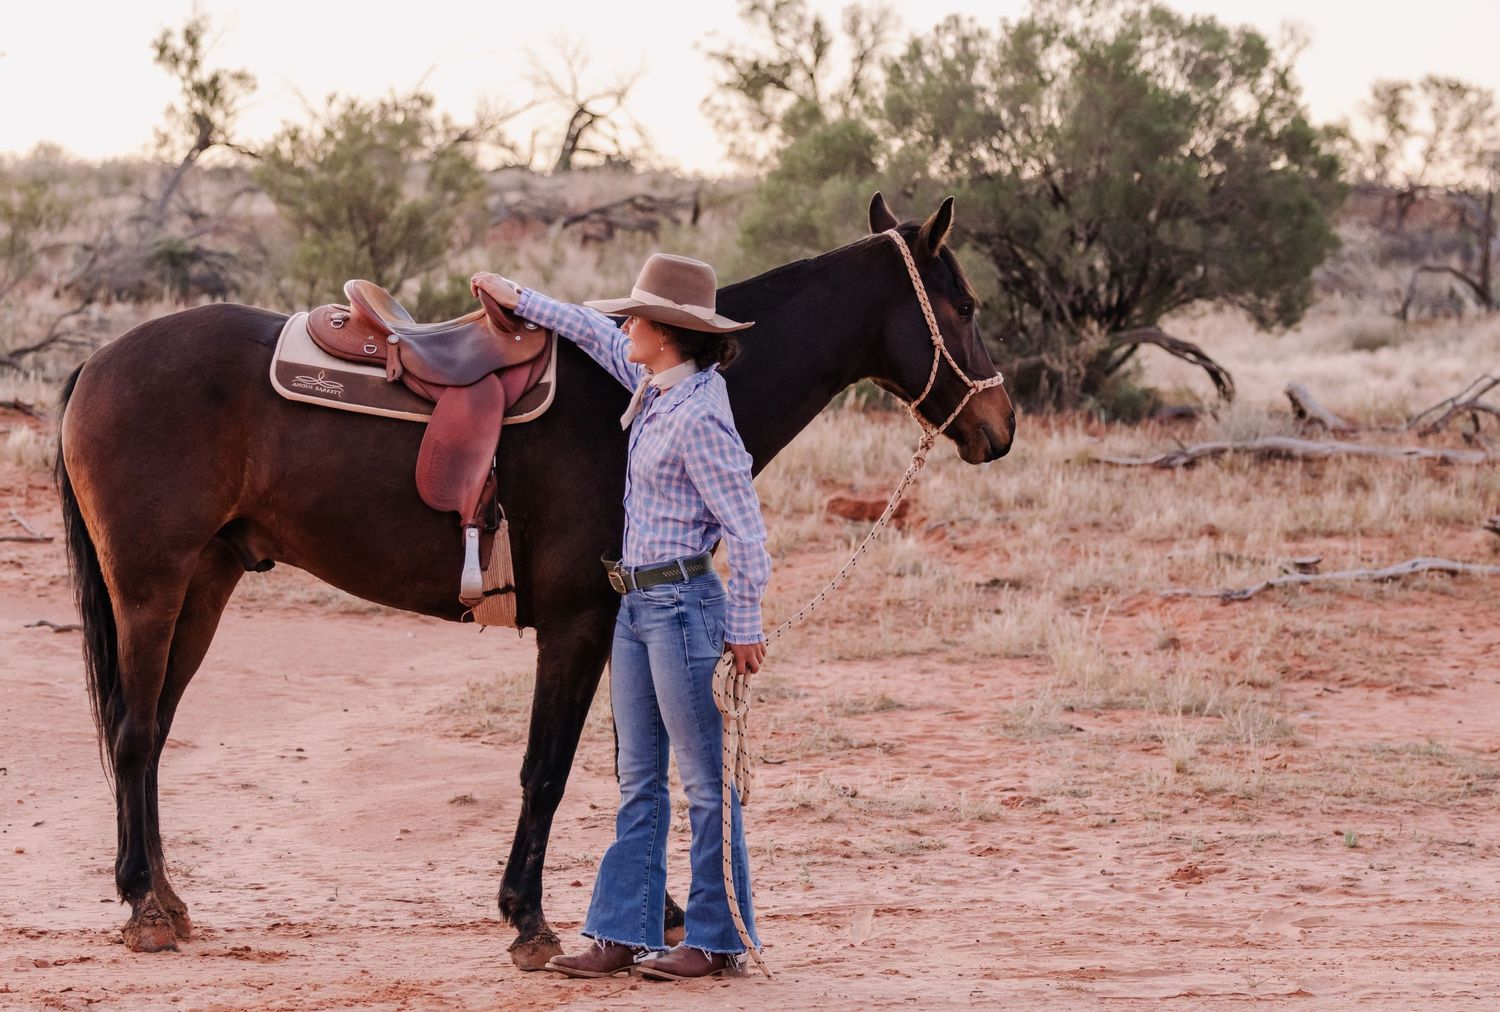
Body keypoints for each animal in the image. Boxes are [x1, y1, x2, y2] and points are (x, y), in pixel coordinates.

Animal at [54, 192, 1015, 968]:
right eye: (965, 305)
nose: (1000, 426)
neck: (636, 396)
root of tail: (98, 362)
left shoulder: (623, 624)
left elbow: (637, 763)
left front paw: (658, 913)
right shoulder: (577, 625)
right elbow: (546, 769)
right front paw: (530, 920)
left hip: (206, 584)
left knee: (153, 733)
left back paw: (165, 899)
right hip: (152, 587)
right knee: (134, 734)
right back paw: (144, 908)